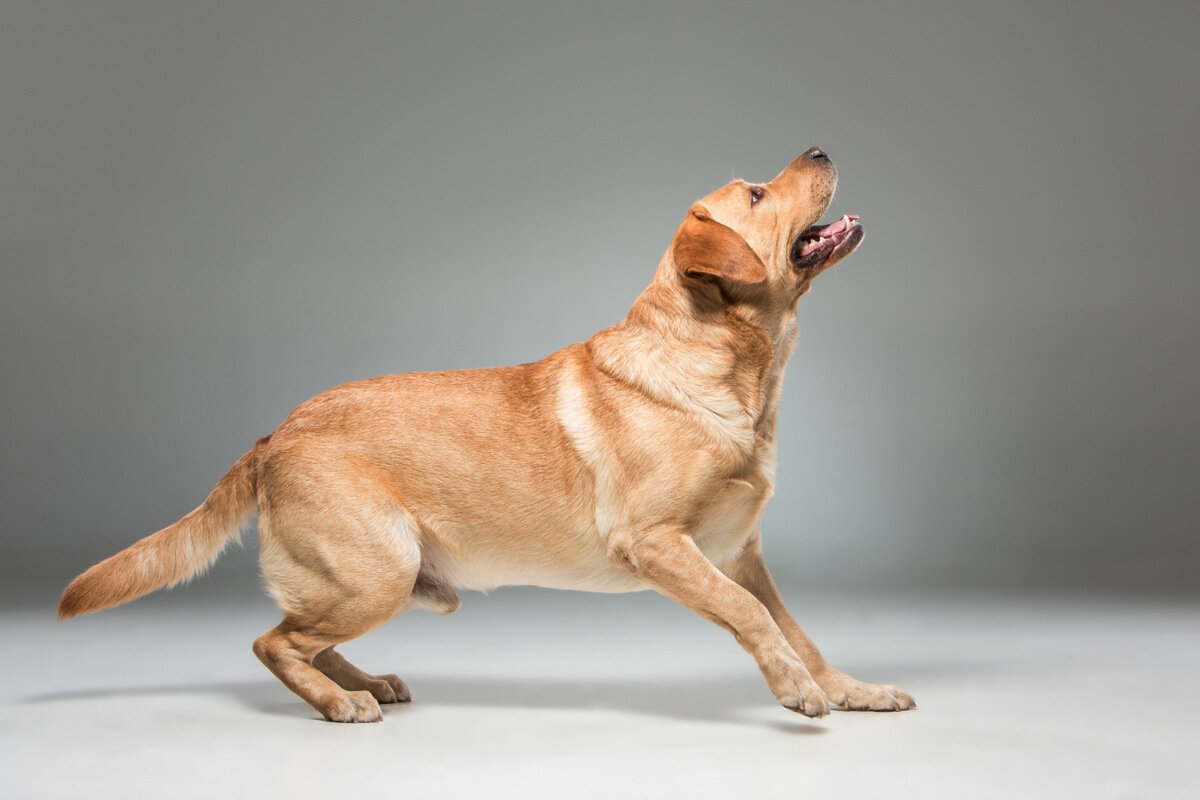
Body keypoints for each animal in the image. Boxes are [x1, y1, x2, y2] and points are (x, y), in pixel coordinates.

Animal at [58, 146, 916, 724]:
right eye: (758, 192)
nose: (820, 148)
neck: (734, 373)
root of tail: (276, 431)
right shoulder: (659, 544)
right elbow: (752, 620)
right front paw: (796, 691)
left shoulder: (741, 554)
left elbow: (796, 629)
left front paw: (849, 690)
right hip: (378, 569)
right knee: (274, 642)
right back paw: (339, 703)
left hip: (378, 580)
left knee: (302, 637)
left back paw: (361, 682)